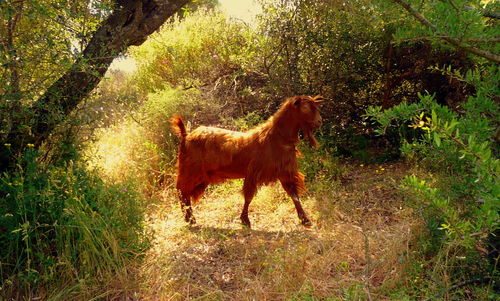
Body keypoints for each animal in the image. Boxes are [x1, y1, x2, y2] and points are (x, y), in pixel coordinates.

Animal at [170, 95, 322, 226]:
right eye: (306, 107)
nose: (319, 121)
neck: (276, 137)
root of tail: (186, 136)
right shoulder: (254, 172)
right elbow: (248, 196)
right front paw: (245, 220)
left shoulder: (285, 171)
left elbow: (294, 195)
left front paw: (305, 219)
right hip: (189, 171)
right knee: (181, 192)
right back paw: (190, 219)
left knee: (185, 194)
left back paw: (190, 219)